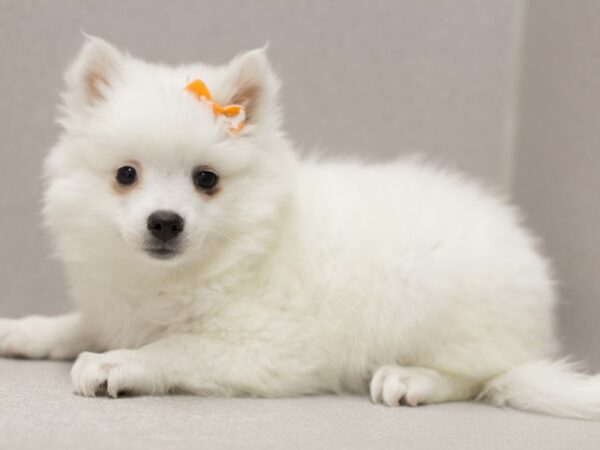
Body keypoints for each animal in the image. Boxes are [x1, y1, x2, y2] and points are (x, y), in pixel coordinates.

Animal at [1, 37, 600, 418]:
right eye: (126, 175)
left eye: (206, 179)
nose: (165, 221)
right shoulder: (115, 307)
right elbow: (76, 323)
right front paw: (24, 330)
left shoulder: (263, 348)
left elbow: (174, 349)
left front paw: (117, 363)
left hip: (443, 311)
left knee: (479, 375)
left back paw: (410, 379)